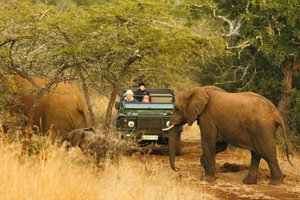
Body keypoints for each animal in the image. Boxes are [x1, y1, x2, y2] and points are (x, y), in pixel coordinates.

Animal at [164, 85, 292, 184]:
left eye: (177, 109)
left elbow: (208, 143)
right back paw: (248, 182)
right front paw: (204, 164)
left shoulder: (208, 118)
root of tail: (277, 114)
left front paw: (208, 180)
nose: (178, 170)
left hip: (262, 128)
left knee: (266, 152)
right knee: (256, 153)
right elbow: (220, 145)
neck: (199, 90)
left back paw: (276, 183)